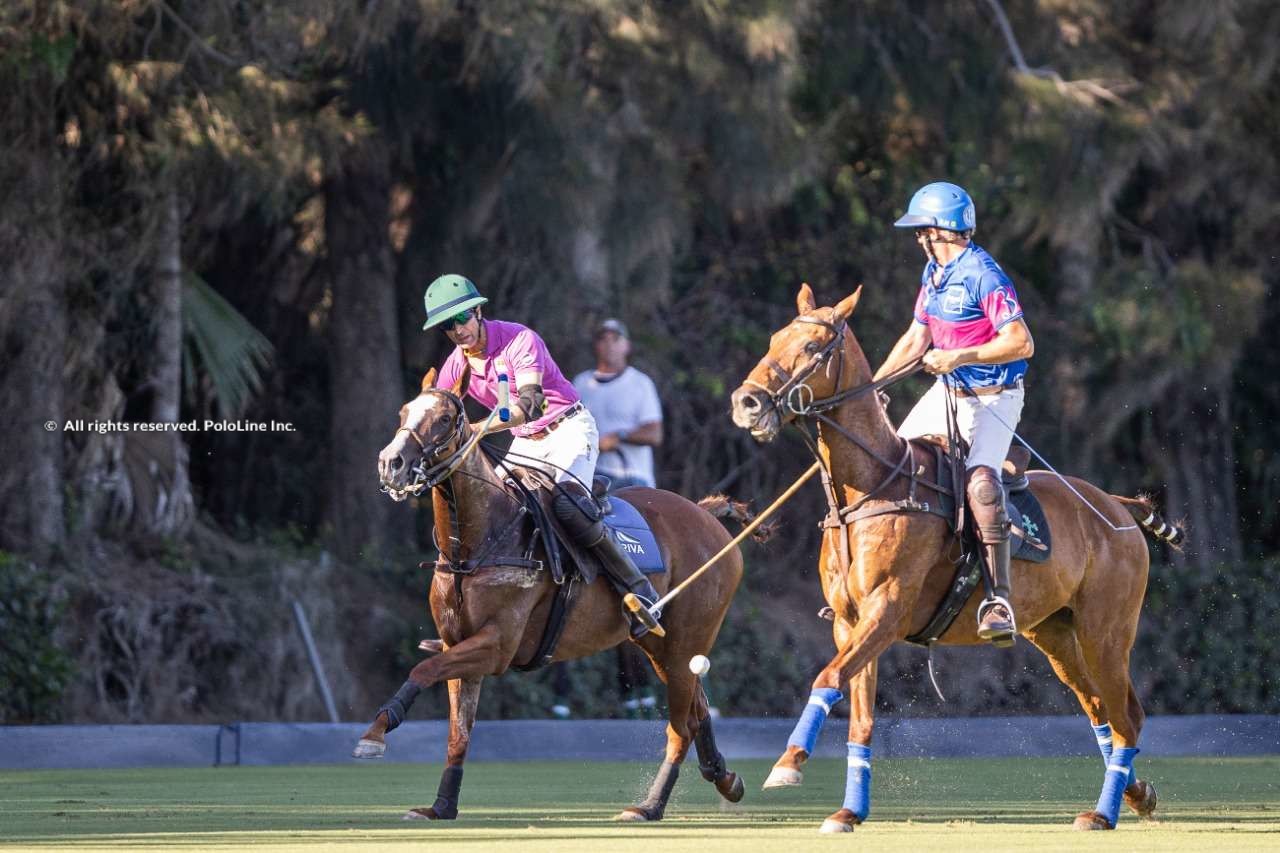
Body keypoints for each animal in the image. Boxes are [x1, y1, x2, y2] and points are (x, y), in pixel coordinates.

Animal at [732, 284, 1177, 829]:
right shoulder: (849, 621)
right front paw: (849, 811)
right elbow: (860, 716)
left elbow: (829, 675)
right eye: (775, 339)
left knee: (1126, 715)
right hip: (1055, 632)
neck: (869, 491)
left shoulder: (887, 609)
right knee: (1100, 710)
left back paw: (1103, 813)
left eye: (813, 348)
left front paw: (788, 764)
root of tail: (1117, 506)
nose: (746, 403)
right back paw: (1136, 795)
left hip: (1106, 630)